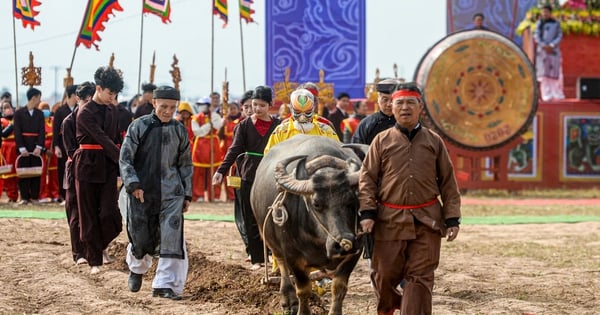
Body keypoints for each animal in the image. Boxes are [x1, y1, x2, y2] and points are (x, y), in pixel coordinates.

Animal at [250, 136, 366, 315]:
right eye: (316, 204)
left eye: (352, 200)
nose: (342, 244)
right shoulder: (293, 255)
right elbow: (303, 289)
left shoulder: (355, 252)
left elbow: (339, 287)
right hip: (271, 242)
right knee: (282, 266)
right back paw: (288, 300)